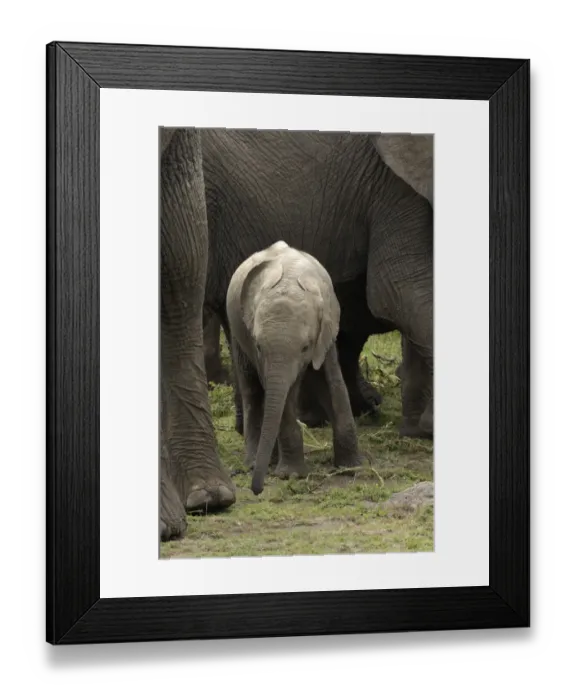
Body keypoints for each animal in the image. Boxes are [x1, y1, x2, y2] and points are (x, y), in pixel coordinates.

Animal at [226, 241, 362, 496]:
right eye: (259, 346)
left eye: (305, 347)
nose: (256, 490)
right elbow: (281, 394)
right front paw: (291, 475)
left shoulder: (326, 331)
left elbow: (333, 382)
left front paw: (352, 468)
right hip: (236, 327)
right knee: (253, 390)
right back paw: (255, 462)